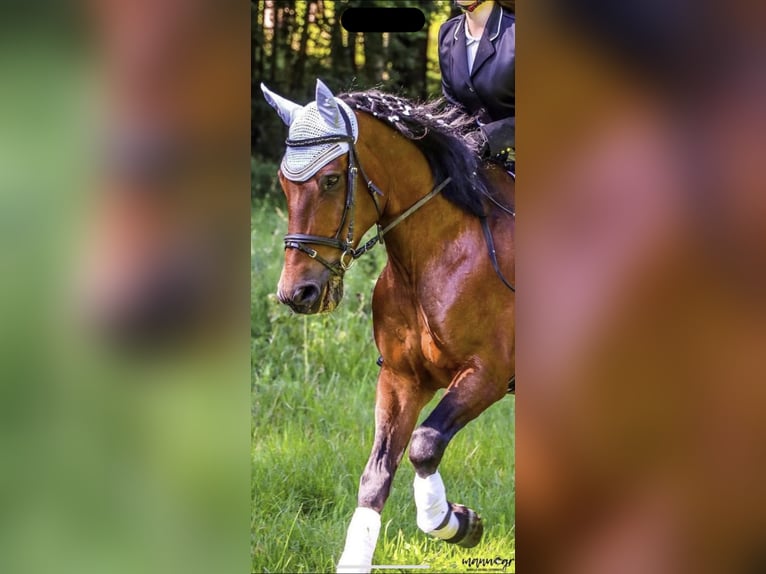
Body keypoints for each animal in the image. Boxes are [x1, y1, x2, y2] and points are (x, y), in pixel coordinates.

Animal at [261, 79, 514, 573]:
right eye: (284, 183)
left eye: (331, 179)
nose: (297, 294)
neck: (434, 257)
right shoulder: (401, 378)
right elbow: (376, 473)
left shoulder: (488, 373)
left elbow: (424, 444)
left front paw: (455, 522)